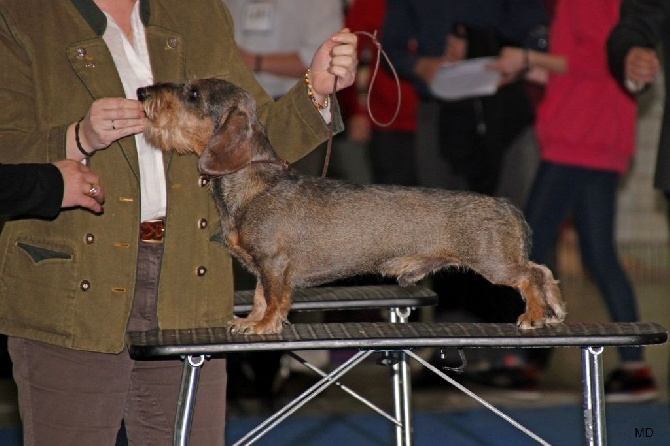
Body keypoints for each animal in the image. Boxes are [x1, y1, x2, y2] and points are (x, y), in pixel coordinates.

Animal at [139, 78, 568, 334]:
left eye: (193, 93)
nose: (143, 92)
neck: (254, 184)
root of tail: (506, 205)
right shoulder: (263, 268)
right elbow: (261, 295)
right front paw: (252, 321)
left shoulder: (274, 263)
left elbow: (276, 297)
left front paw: (265, 325)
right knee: (543, 271)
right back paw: (555, 309)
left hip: (494, 263)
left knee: (532, 275)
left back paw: (535, 314)